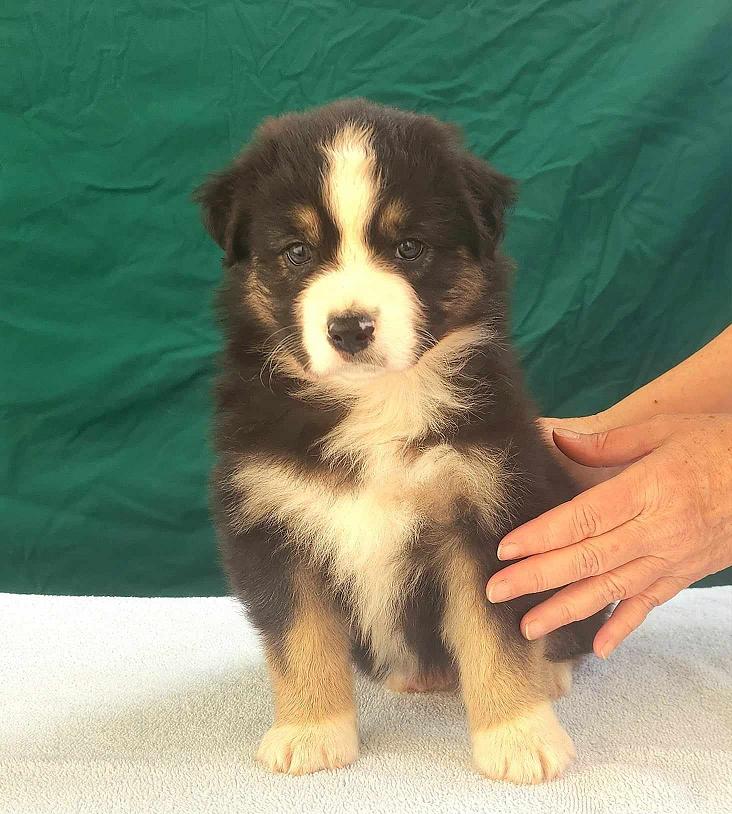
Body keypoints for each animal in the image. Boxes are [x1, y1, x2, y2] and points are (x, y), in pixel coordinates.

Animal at [196, 99, 607, 784]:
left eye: (409, 248)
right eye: (297, 252)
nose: (349, 328)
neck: (375, 403)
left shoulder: (487, 509)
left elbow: (496, 635)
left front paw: (519, 737)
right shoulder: (271, 519)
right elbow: (302, 640)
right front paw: (310, 733)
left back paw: (550, 677)